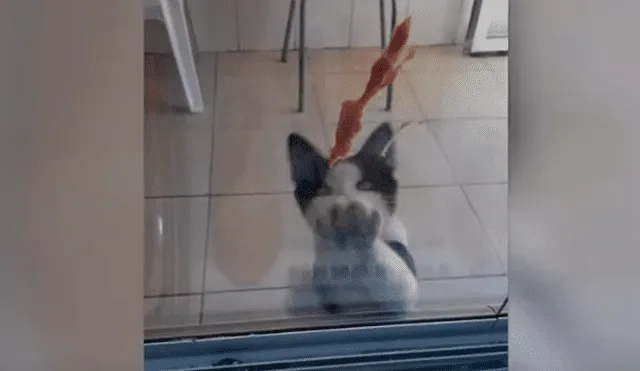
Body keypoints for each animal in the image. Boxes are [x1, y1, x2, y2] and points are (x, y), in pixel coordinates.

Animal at [286, 123, 418, 316]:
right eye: (324, 191)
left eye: (365, 186)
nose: (347, 199)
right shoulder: (325, 282)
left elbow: (402, 293)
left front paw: (363, 230)